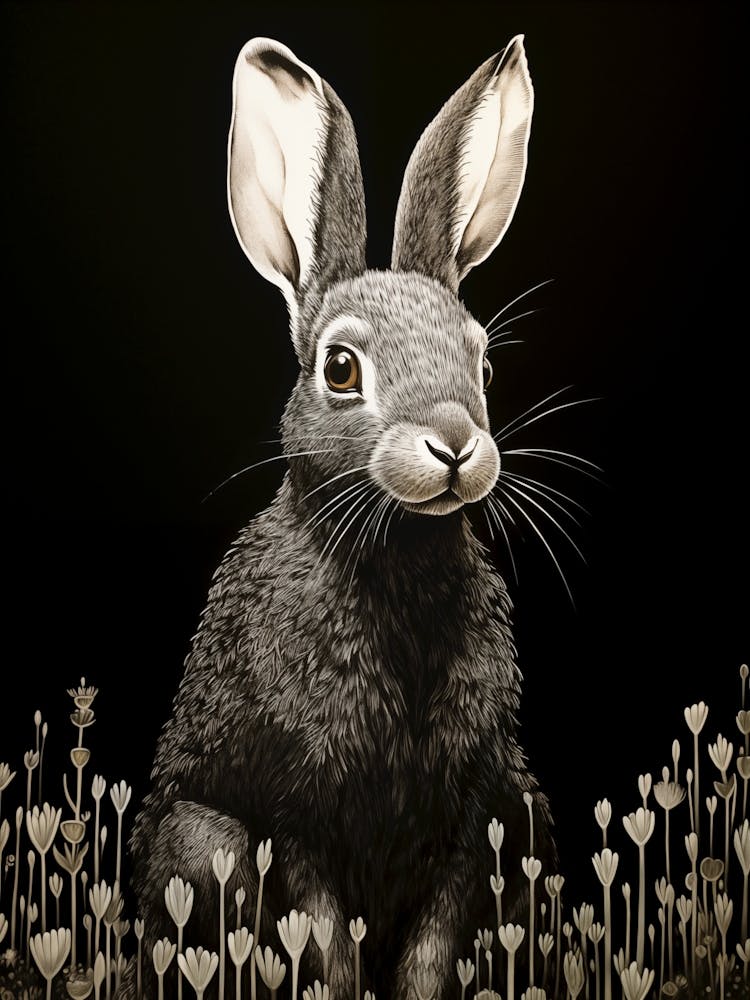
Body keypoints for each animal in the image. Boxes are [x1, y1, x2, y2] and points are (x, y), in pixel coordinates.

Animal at [125, 34, 555, 1000]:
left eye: (481, 361)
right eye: (341, 368)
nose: (454, 444)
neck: (398, 555)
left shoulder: (474, 820)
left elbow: (432, 950)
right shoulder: (297, 820)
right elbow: (324, 943)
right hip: (206, 841)